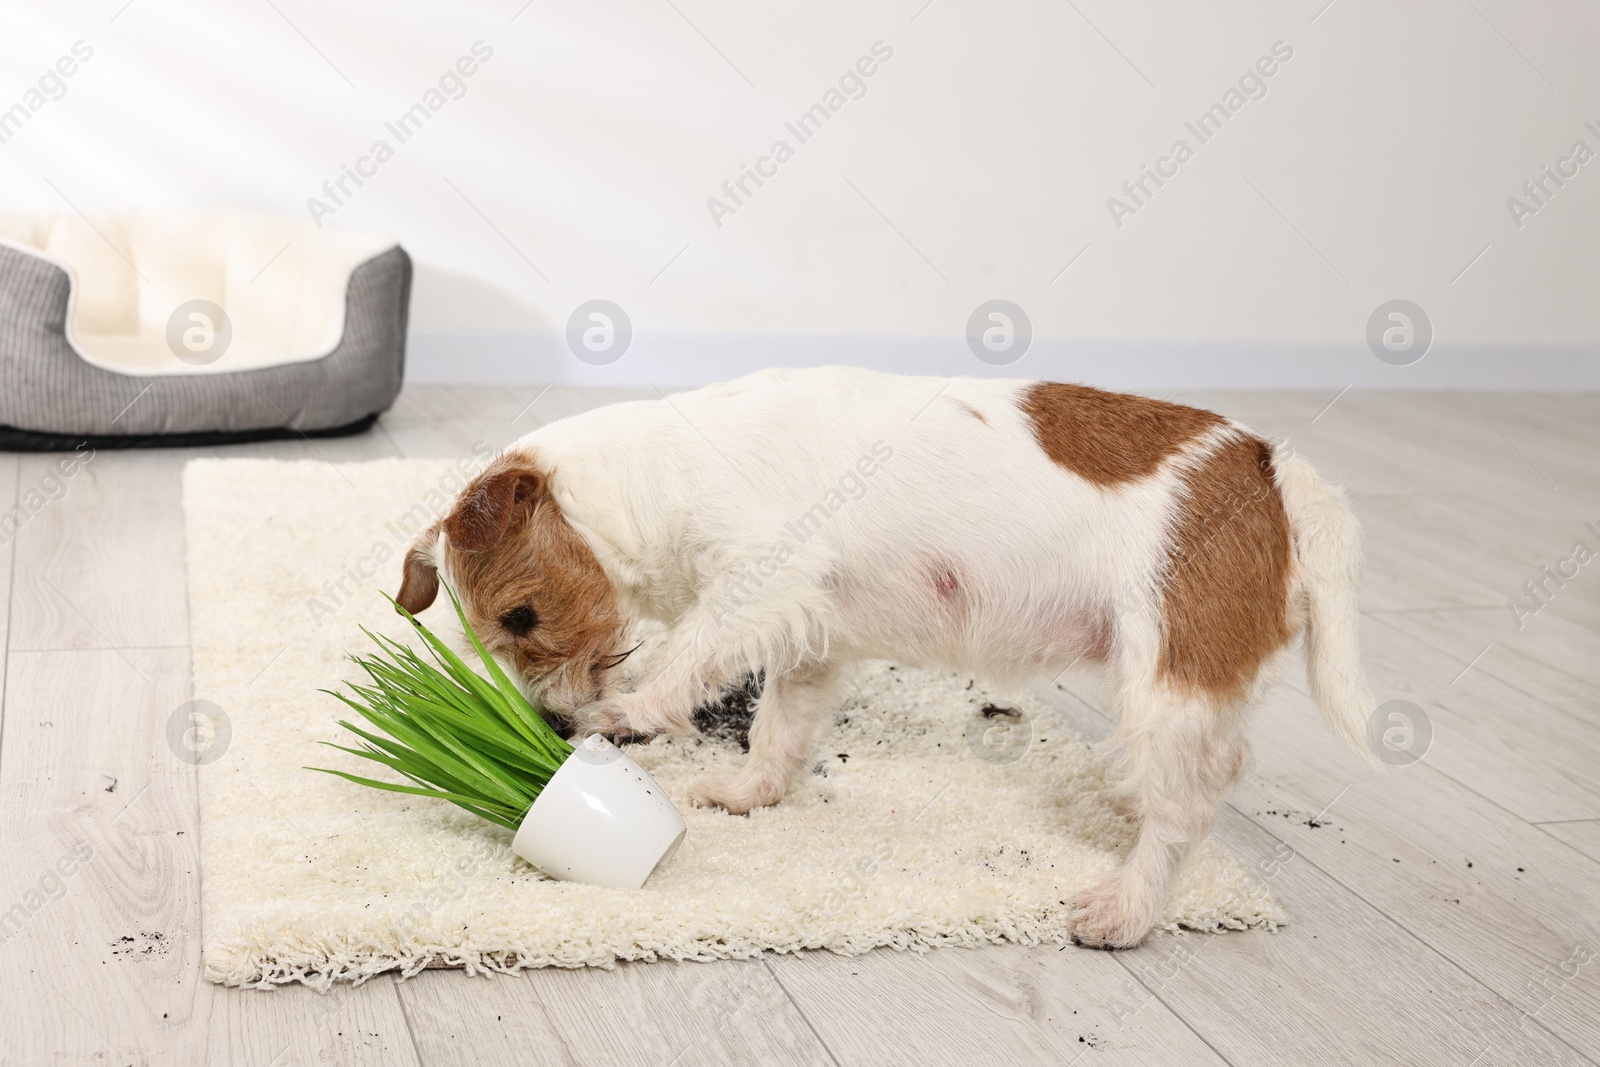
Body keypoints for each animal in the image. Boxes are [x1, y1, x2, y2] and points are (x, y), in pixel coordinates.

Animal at [393, 369, 1369, 953]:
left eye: (521, 614)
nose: (551, 726)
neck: (651, 477)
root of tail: (1271, 468)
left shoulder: (759, 581)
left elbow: (693, 650)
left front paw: (629, 713)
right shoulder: (811, 638)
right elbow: (781, 726)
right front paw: (750, 792)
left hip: (1168, 677)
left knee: (1189, 804)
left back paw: (1126, 906)